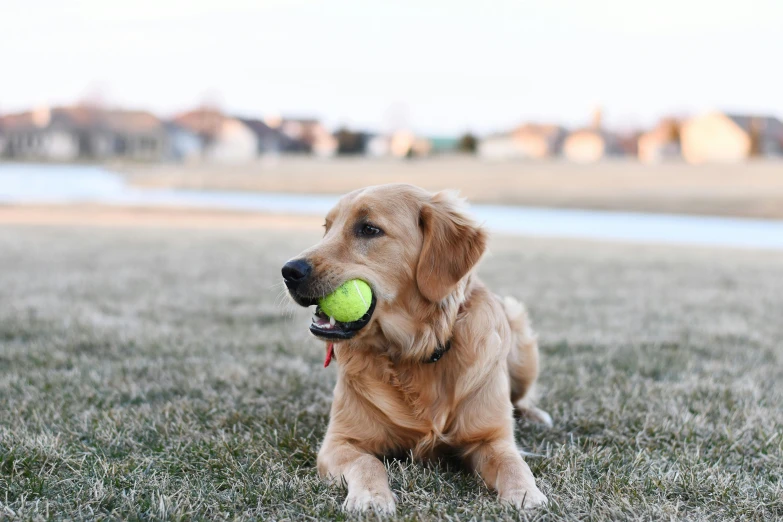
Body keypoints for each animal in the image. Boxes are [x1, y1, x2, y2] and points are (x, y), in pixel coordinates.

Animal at [284, 183, 552, 512]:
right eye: (327, 228)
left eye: (369, 229)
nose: (289, 271)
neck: (415, 351)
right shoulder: (340, 441)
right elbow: (368, 463)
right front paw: (371, 496)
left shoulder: (492, 438)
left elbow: (513, 463)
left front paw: (526, 494)